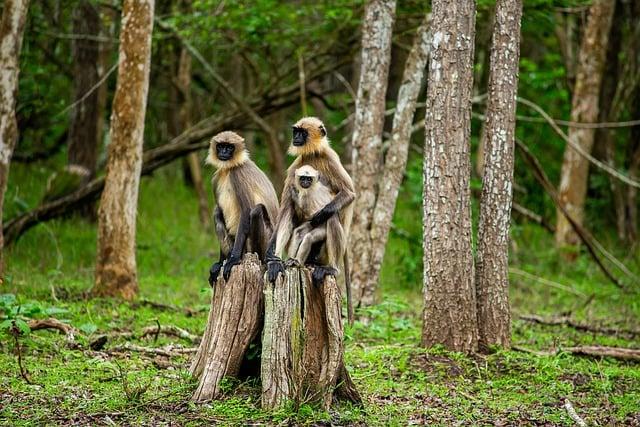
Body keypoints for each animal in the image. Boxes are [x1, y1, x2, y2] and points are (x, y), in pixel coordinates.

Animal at [206, 130, 278, 284]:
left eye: (229, 147)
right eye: (221, 146)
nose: (224, 152)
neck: (229, 169)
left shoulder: (238, 174)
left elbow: (246, 212)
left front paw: (233, 260)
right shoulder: (215, 179)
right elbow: (219, 209)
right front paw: (221, 262)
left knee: (256, 210)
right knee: (217, 211)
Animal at [264, 118, 356, 324]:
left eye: (303, 132)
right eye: (295, 131)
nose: (296, 138)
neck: (313, 154)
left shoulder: (330, 158)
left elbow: (349, 194)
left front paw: (320, 215)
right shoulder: (296, 166)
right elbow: (285, 210)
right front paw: (272, 259)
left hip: (327, 252)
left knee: (332, 218)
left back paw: (331, 268)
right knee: (292, 216)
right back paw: (288, 261)